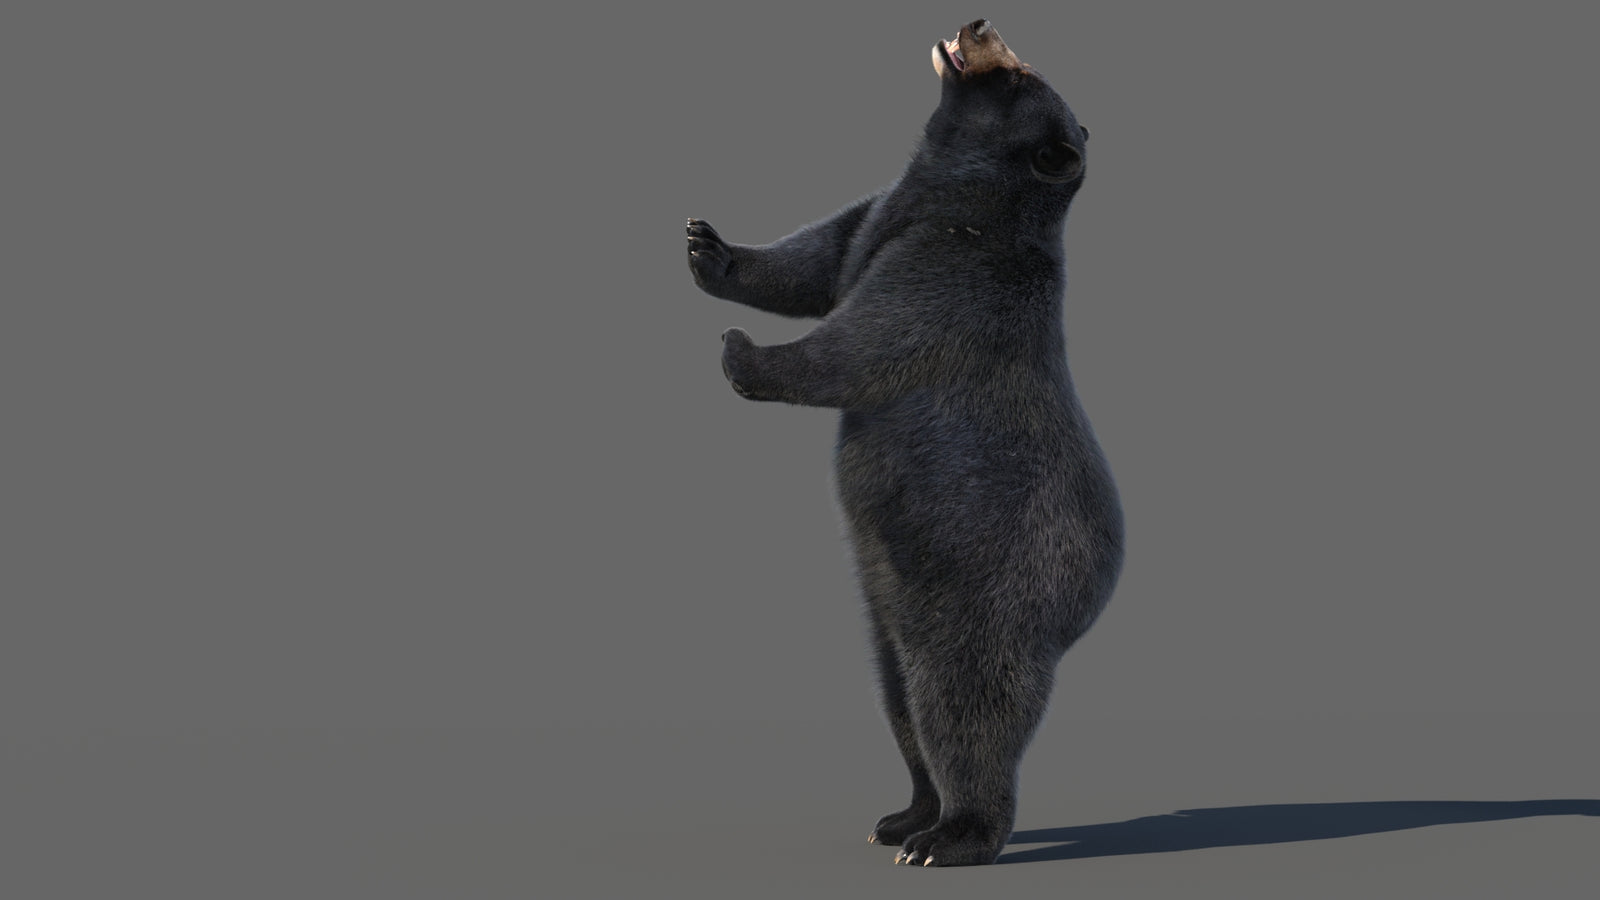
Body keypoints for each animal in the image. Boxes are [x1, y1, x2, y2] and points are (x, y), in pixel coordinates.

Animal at [684, 20, 1123, 867]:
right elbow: (815, 260)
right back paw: (903, 815)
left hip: (988, 596)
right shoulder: (877, 218)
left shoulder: (955, 273)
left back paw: (952, 836)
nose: (977, 24)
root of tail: (1089, 605)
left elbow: (864, 341)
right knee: (899, 705)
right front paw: (707, 246)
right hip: (888, 612)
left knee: (962, 710)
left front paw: (740, 351)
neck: (949, 200)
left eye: (1018, 73)